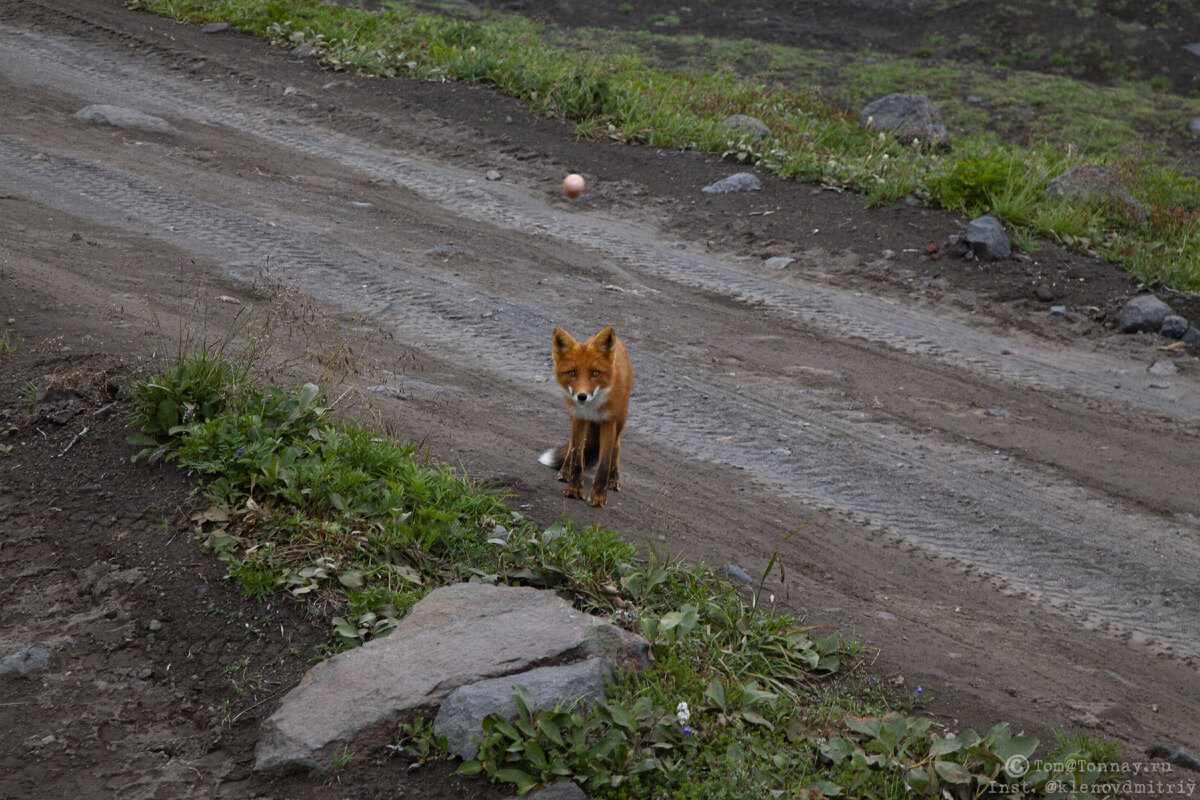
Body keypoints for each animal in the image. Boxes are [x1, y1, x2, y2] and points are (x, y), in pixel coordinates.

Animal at [542, 326, 633, 506]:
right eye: (572, 373)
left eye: (595, 373)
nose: (582, 396)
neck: (592, 408)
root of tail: (619, 342)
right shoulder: (579, 418)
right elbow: (577, 457)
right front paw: (574, 489)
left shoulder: (608, 422)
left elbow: (604, 464)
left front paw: (598, 497)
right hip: (573, 416)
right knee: (571, 445)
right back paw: (565, 471)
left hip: (620, 419)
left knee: (617, 446)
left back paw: (613, 479)